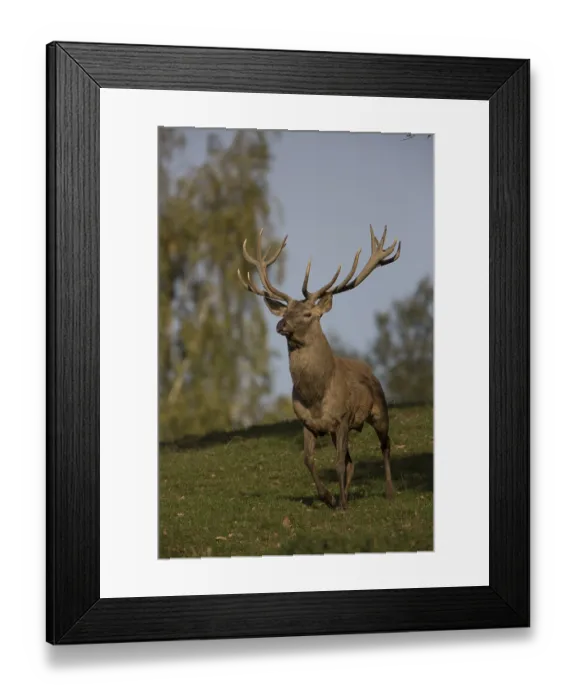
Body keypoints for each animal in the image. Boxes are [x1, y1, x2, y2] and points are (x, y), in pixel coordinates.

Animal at [237, 224, 401, 510]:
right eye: (285, 312)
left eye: (307, 314)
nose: (280, 325)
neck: (315, 394)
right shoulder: (308, 423)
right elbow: (309, 460)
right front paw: (329, 497)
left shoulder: (343, 418)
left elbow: (337, 463)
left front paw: (342, 503)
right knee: (351, 461)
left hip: (380, 410)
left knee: (385, 444)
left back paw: (389, 492)